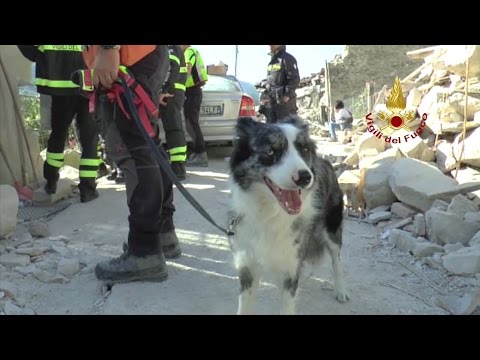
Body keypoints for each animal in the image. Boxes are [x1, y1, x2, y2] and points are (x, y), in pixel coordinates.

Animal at [229, 116, 348, 314]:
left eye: (304, 149)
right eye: (270, 151)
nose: (305, 177)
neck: (269, 214)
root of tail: (325, 161)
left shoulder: (290, 268)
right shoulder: (247, 266)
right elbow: (244, 307)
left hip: (332, 228)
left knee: (337, 260)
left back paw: (341, 290)